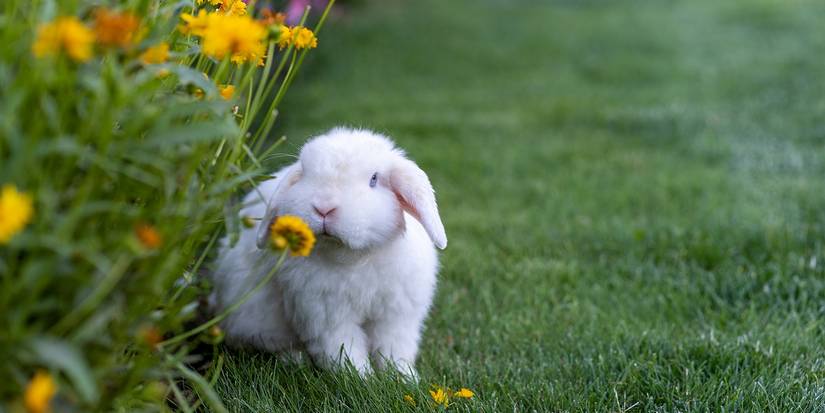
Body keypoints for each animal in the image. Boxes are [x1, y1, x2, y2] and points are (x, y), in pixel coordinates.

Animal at [210, 127, 447, 378]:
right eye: (305, 174)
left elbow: (393, 348)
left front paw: (403, 377)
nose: (324, 207)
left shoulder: (397, 316)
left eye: (374, 179)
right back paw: (295, 359)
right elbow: (343, 348)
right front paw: (361, 378)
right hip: (256, 319)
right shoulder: (326, 315)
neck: (357, 258)